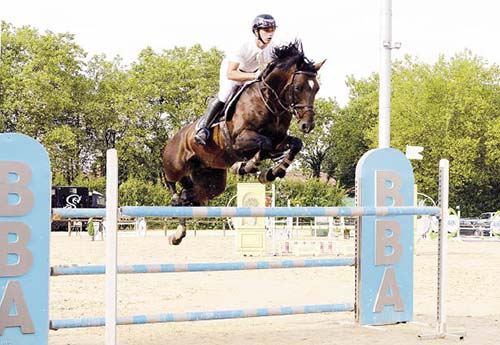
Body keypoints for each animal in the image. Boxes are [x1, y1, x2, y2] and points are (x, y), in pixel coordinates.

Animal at [160, 41, 324, 245]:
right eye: (299, 87)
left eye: (316, 88)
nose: (307, 125)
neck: (269, 102)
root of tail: (174, 137)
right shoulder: (240, 140)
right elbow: (264, 144)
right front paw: (251, 167)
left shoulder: (279, 141)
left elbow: (295, 144)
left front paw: (272, 171)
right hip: (175, 165)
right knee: (171, 182)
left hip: (211, 181)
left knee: (188, 195)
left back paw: (178, 233)